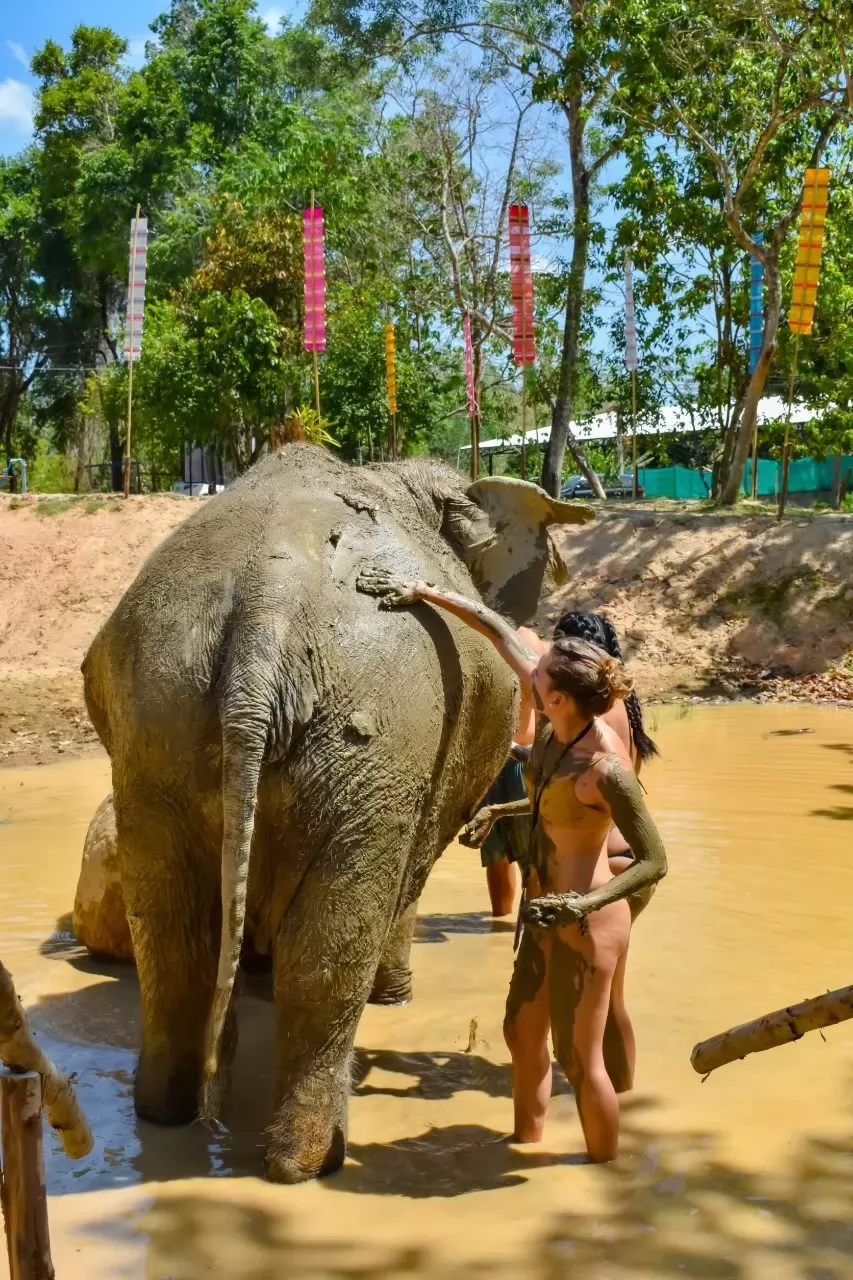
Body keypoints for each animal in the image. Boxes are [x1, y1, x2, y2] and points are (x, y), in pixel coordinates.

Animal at [81, 442, 593, 1183]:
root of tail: (267, 604)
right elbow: (407, 878)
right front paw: (394, 998)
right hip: (379, 737)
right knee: (327, 947)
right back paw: (309, 1162)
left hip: (157, 717)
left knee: (174, 938)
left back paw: (166, 1115)